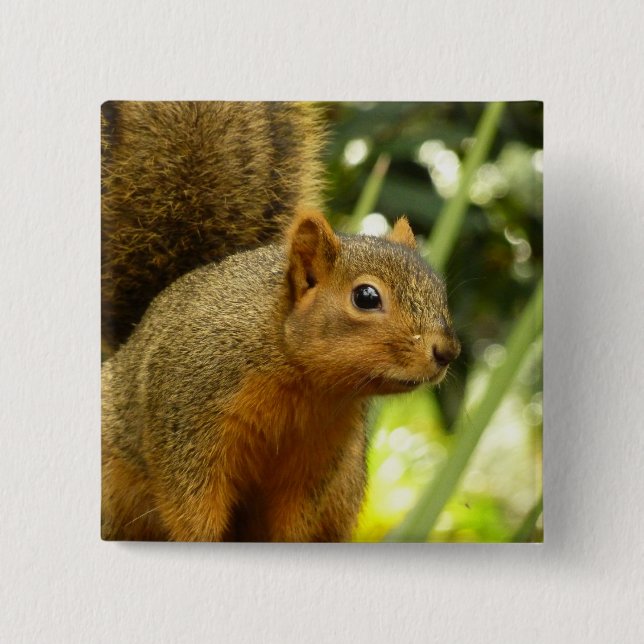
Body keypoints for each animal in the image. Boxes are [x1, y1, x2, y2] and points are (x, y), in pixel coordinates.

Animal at [101, 101, 461, 542]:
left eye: (439, 288)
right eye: (366, 297)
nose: (447, 351)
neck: (302, 382)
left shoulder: (317, 462)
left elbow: (293, 522)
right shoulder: (187, 423)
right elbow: (191, 508)